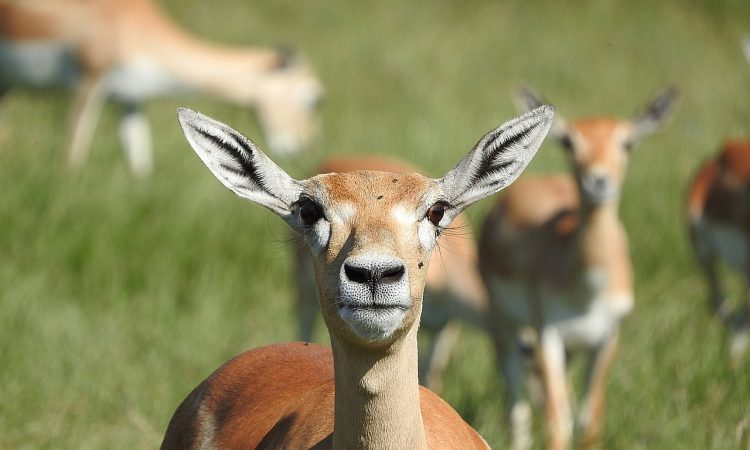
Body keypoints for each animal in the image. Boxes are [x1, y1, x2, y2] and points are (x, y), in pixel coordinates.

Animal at [0, 0, 322, 176]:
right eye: (313, 99)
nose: (302, 146)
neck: (133, 27)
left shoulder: (129, 100)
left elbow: (140, 161)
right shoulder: (89, 81)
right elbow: (74, 151)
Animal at [479, 86, 677, 450]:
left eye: (627, 142)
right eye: (570, 142)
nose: (598, 180)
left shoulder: (608, 338)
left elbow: (589, 420)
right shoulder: (547, 335)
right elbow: (558, 421)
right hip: (506, 325)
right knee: (517, 399)